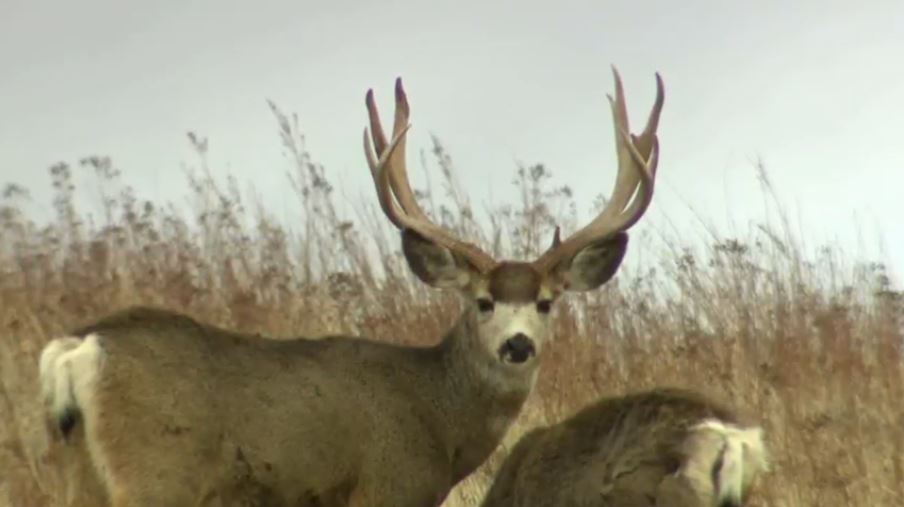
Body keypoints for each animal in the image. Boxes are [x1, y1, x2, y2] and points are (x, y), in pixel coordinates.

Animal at [37, 67, 664, 507]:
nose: (518, 344)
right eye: (483, 302)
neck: (437, 416)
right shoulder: (388, 486)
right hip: (154, 472)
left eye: (546, 303)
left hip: (75, 472)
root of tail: (79, 349)